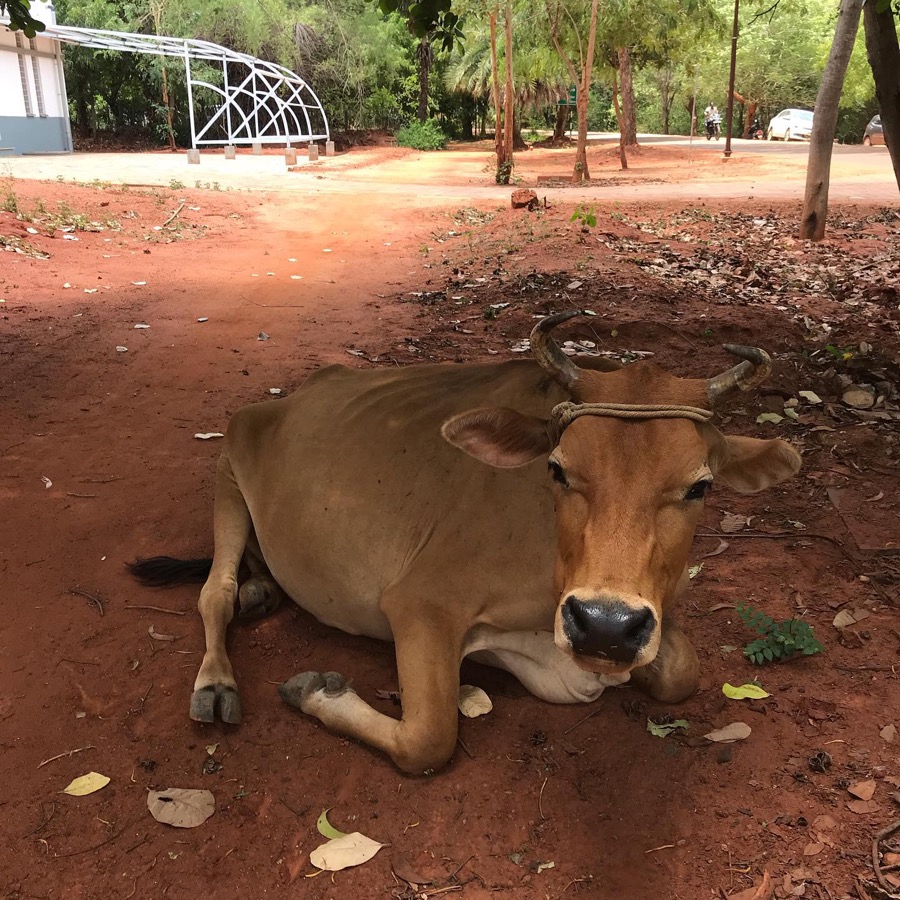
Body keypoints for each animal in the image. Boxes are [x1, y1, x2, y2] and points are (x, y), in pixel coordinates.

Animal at [130, 310, 801, 774]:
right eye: (557, 469)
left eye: (700, 486)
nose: (604, 625)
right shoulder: (422, 604)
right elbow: (429, 739)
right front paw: (317, 690)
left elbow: (683, 669)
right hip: (227, 467)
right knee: (213, 594)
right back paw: (217, 679)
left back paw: (261, 591)